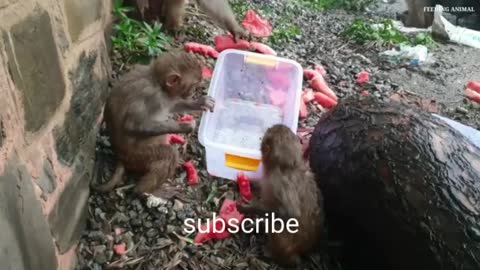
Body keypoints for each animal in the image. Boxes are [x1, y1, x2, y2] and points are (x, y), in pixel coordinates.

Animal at [95, 50, 214, 194]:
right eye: (193, 85)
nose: (193, 92)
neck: (158, 83)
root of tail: (121, 157)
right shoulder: (154, 98)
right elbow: (134, 126)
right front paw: (184, 126)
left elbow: (172, 105)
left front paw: (200, 102)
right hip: (139, 156)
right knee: (168, 154)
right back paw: (143, 191)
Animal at [237, 124, 324, 266]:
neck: (289, 166)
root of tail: (307, 249)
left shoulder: (278, 181)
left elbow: (290, 213)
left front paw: (250, 207)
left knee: (278, 228)